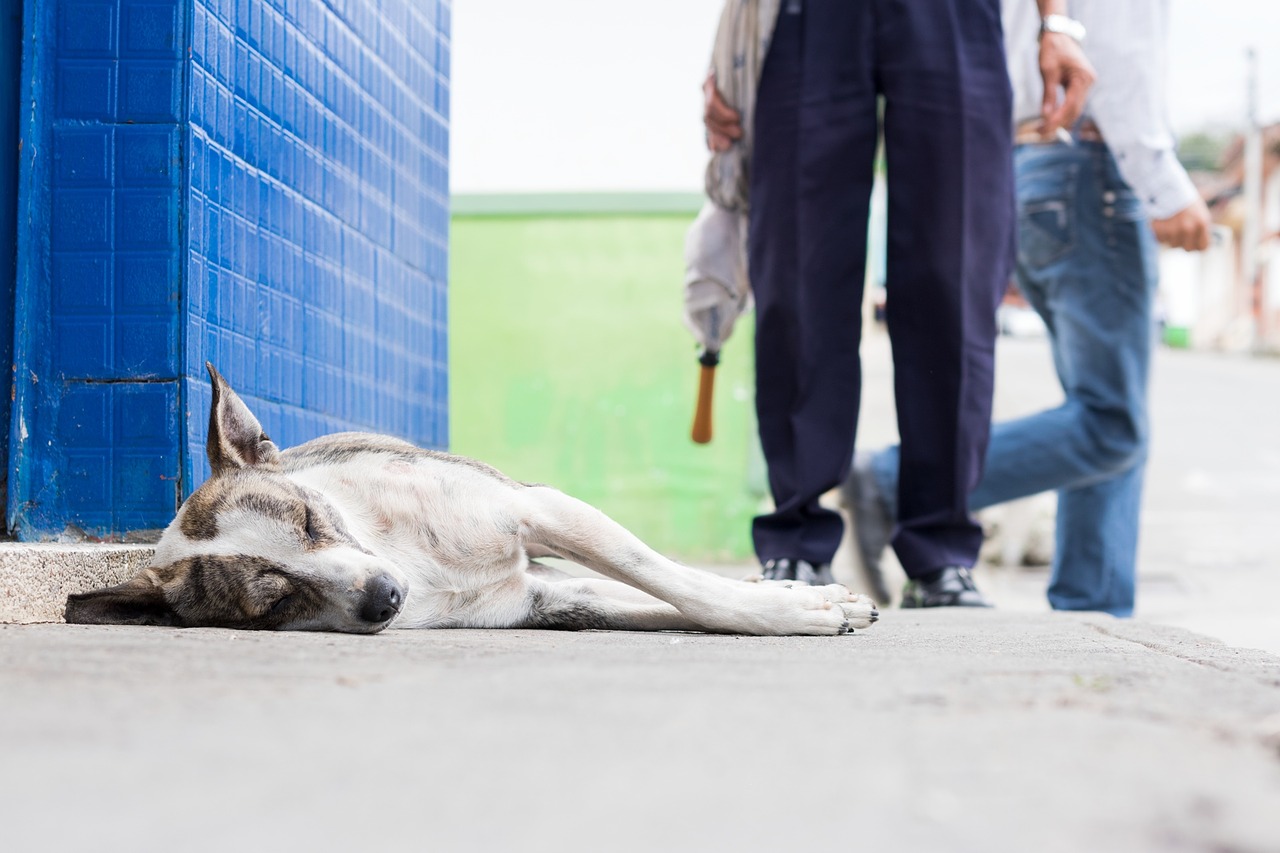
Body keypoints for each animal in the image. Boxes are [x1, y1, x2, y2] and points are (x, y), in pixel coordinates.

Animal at [62, 361, 880, 635]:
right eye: (274, 599)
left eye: (310, 519)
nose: (384, 597)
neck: (406, 558)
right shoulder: (541, 599)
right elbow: (662, 599)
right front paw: (802, 608)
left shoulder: (544, 509)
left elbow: (678, 584)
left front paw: (790, 610)